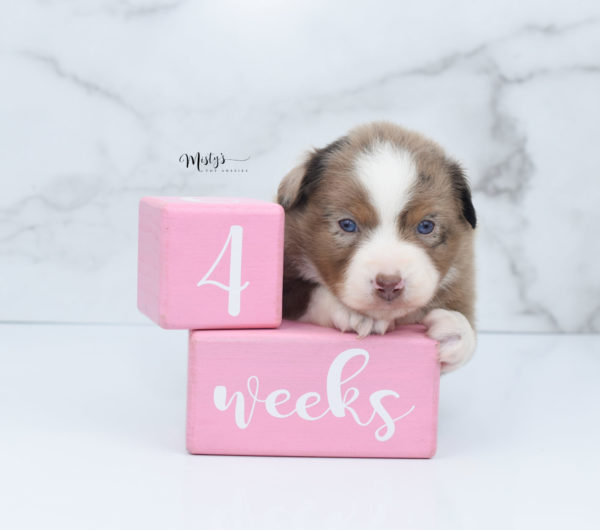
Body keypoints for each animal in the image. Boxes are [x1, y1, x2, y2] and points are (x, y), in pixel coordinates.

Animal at [276, 121, 478, 374]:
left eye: (425, 226)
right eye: (348, 224)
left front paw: (456, 332)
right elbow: (306, 292)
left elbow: (467, 332)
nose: (389, 284)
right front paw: (357, 312)